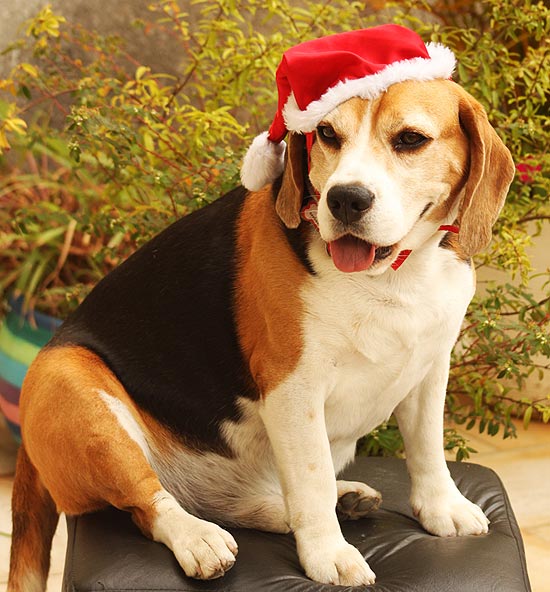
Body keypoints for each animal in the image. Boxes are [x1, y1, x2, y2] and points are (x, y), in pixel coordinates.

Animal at [8, 74, 516, 588]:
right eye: (327, 133)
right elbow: (311, 478)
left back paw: (339, 499)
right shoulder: (293, 389)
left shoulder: (430, 367)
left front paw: (442, 508)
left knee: (241, 503)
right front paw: (329, 554)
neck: (392, 276)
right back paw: (199, 537)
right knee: (151, 506)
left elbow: (428, 447)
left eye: (411, 139)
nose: (345, 199)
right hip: (77, 389)